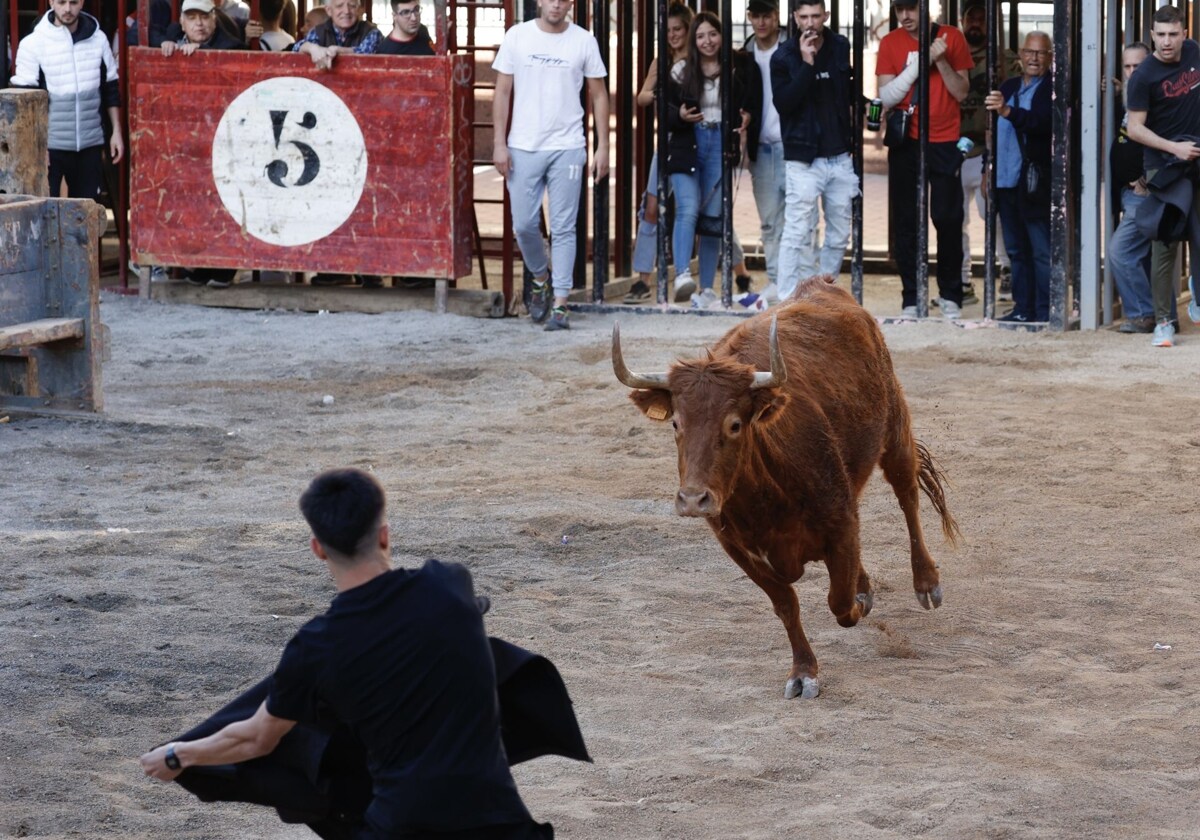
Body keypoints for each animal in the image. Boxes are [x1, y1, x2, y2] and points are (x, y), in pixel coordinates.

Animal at [614, 278, 960, 700]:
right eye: (676, 423)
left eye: (734, 424)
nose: (693, 500)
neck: (763, 498)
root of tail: (822, 285)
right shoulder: (739, 549)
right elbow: (787, 605)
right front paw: (803, 671)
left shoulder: (839, 521)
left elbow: (840, 602)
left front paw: (858, 602)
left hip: (894, 429)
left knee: (907, 494)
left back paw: (926, 582)